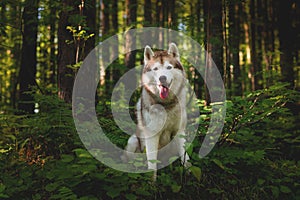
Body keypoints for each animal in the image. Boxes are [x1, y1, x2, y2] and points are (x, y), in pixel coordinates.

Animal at [122, 42, 190, 180]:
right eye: (155, 69)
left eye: (169, 67)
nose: (162, 78)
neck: (166, 105)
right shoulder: (151, 135)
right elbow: (152, 165)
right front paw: (152, 183)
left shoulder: (179, 132)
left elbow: (185, 158)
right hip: (133, 141)